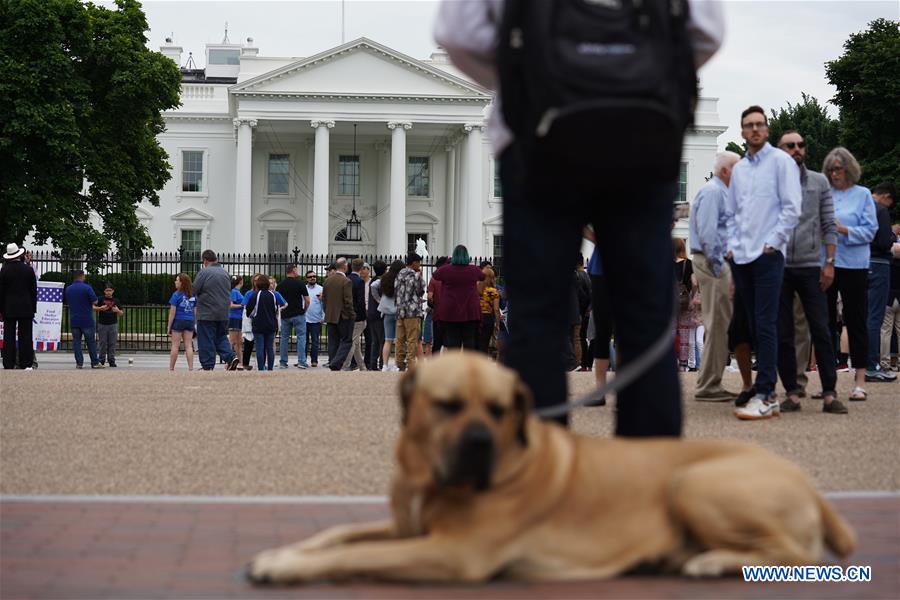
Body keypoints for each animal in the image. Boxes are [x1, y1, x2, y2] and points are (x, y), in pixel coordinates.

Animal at [248, 354, 856, 584]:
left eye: (500, 410)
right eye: (446, 404)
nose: (479, 444)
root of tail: (808, 483)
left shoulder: (455, 552)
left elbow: (354, 554)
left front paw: (285, 567)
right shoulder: (406, 526)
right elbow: (338, 533)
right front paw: (282, 552)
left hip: (695, 482)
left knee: (799, 554)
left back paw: (709, 561)